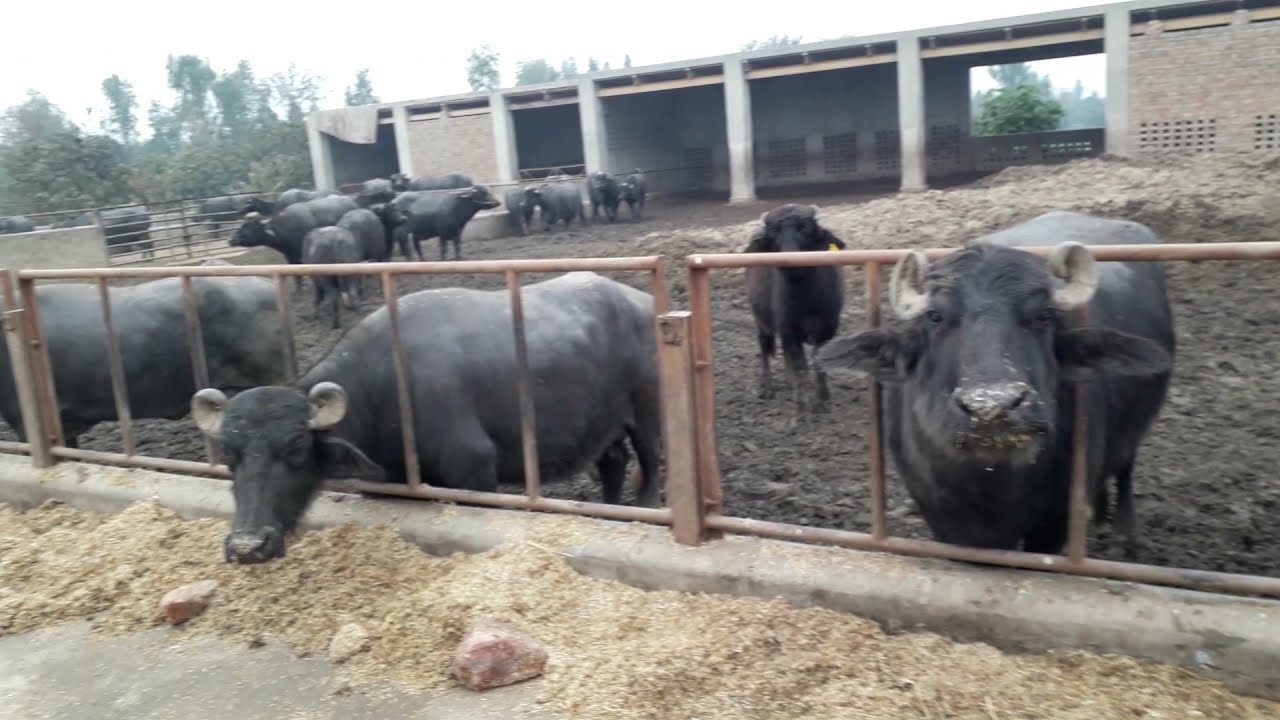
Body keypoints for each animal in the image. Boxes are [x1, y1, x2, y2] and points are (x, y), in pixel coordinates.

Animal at [189, 271, 663, 564]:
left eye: (296, 447)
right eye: (228, 454)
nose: (248, 546)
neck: (387, 382)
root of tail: (642, 301)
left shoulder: (475, 469)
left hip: (647, 415)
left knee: (651, 464)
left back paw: (643, 509)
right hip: (604, 424)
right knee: (613, 463)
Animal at [744, 204, 847, 426]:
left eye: (804, 228)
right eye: (775, 232)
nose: (790, 257)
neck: (805, 299)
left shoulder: (827, 329)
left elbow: (818, 362)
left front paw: (823, 400)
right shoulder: (789, 329)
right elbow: (802, 368)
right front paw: (801, 410)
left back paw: (788, 381)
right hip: (761, 319)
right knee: (764, 346)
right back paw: (767, 386)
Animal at [815, 211, 1176, 557]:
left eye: (1044, 315)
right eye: (935, 317)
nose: (992, 408)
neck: (990, 487)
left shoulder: (1054, 523)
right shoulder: (937, 515)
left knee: (1125, 469)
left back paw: (1125, 534)